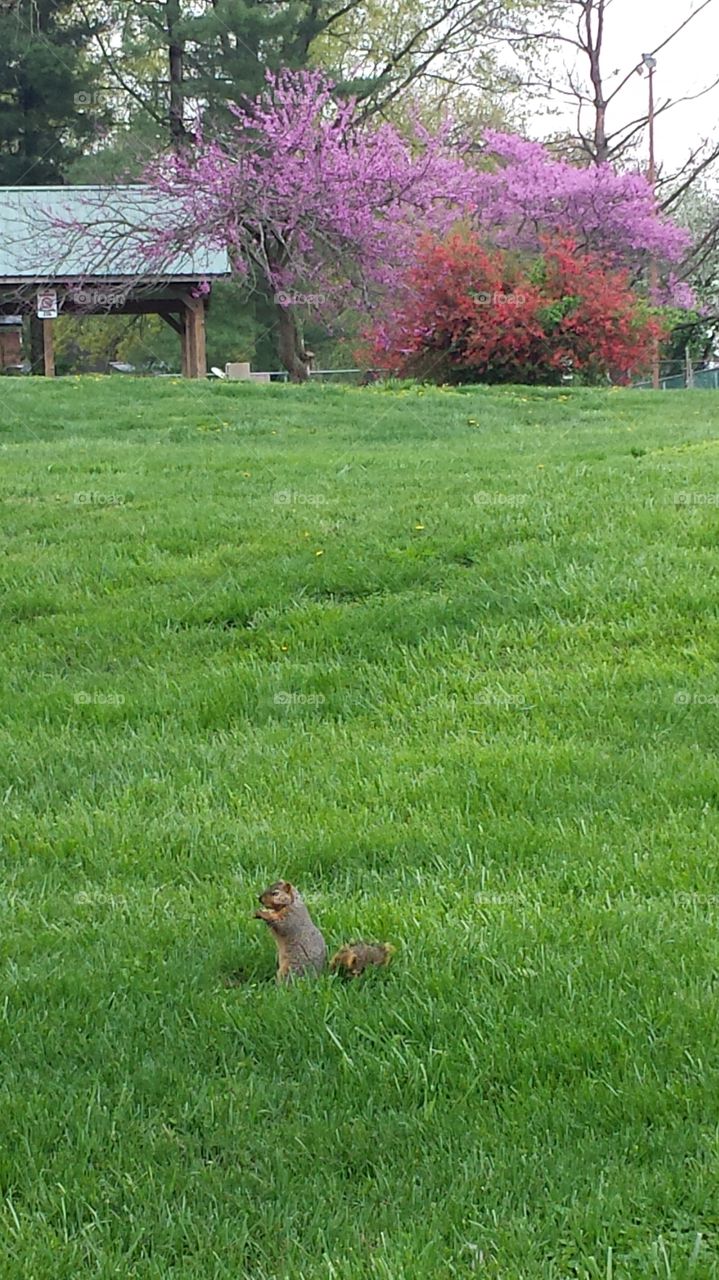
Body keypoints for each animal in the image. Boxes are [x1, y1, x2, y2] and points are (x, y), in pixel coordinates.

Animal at [255, 881, 394, 984]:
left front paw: (263, 913)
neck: (292, 903)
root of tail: (320, 976)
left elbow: (281, 925)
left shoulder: (291, 918)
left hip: (292, 969)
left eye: (275, 893)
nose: (260, 899)